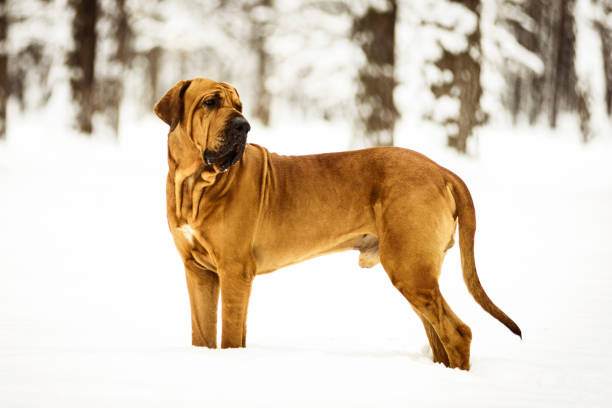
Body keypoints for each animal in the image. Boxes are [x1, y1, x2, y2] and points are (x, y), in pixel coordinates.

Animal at [154, 76, 520, 370]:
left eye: (238, 106)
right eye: (210, 102)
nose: (243, 125)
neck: (195, 184)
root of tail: (442, 170)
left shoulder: (234, 272)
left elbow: (231, 335)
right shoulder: (198, 271)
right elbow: (201, 332)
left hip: (410, 268)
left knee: (457, 333)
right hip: (417, 274)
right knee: (438, 335)